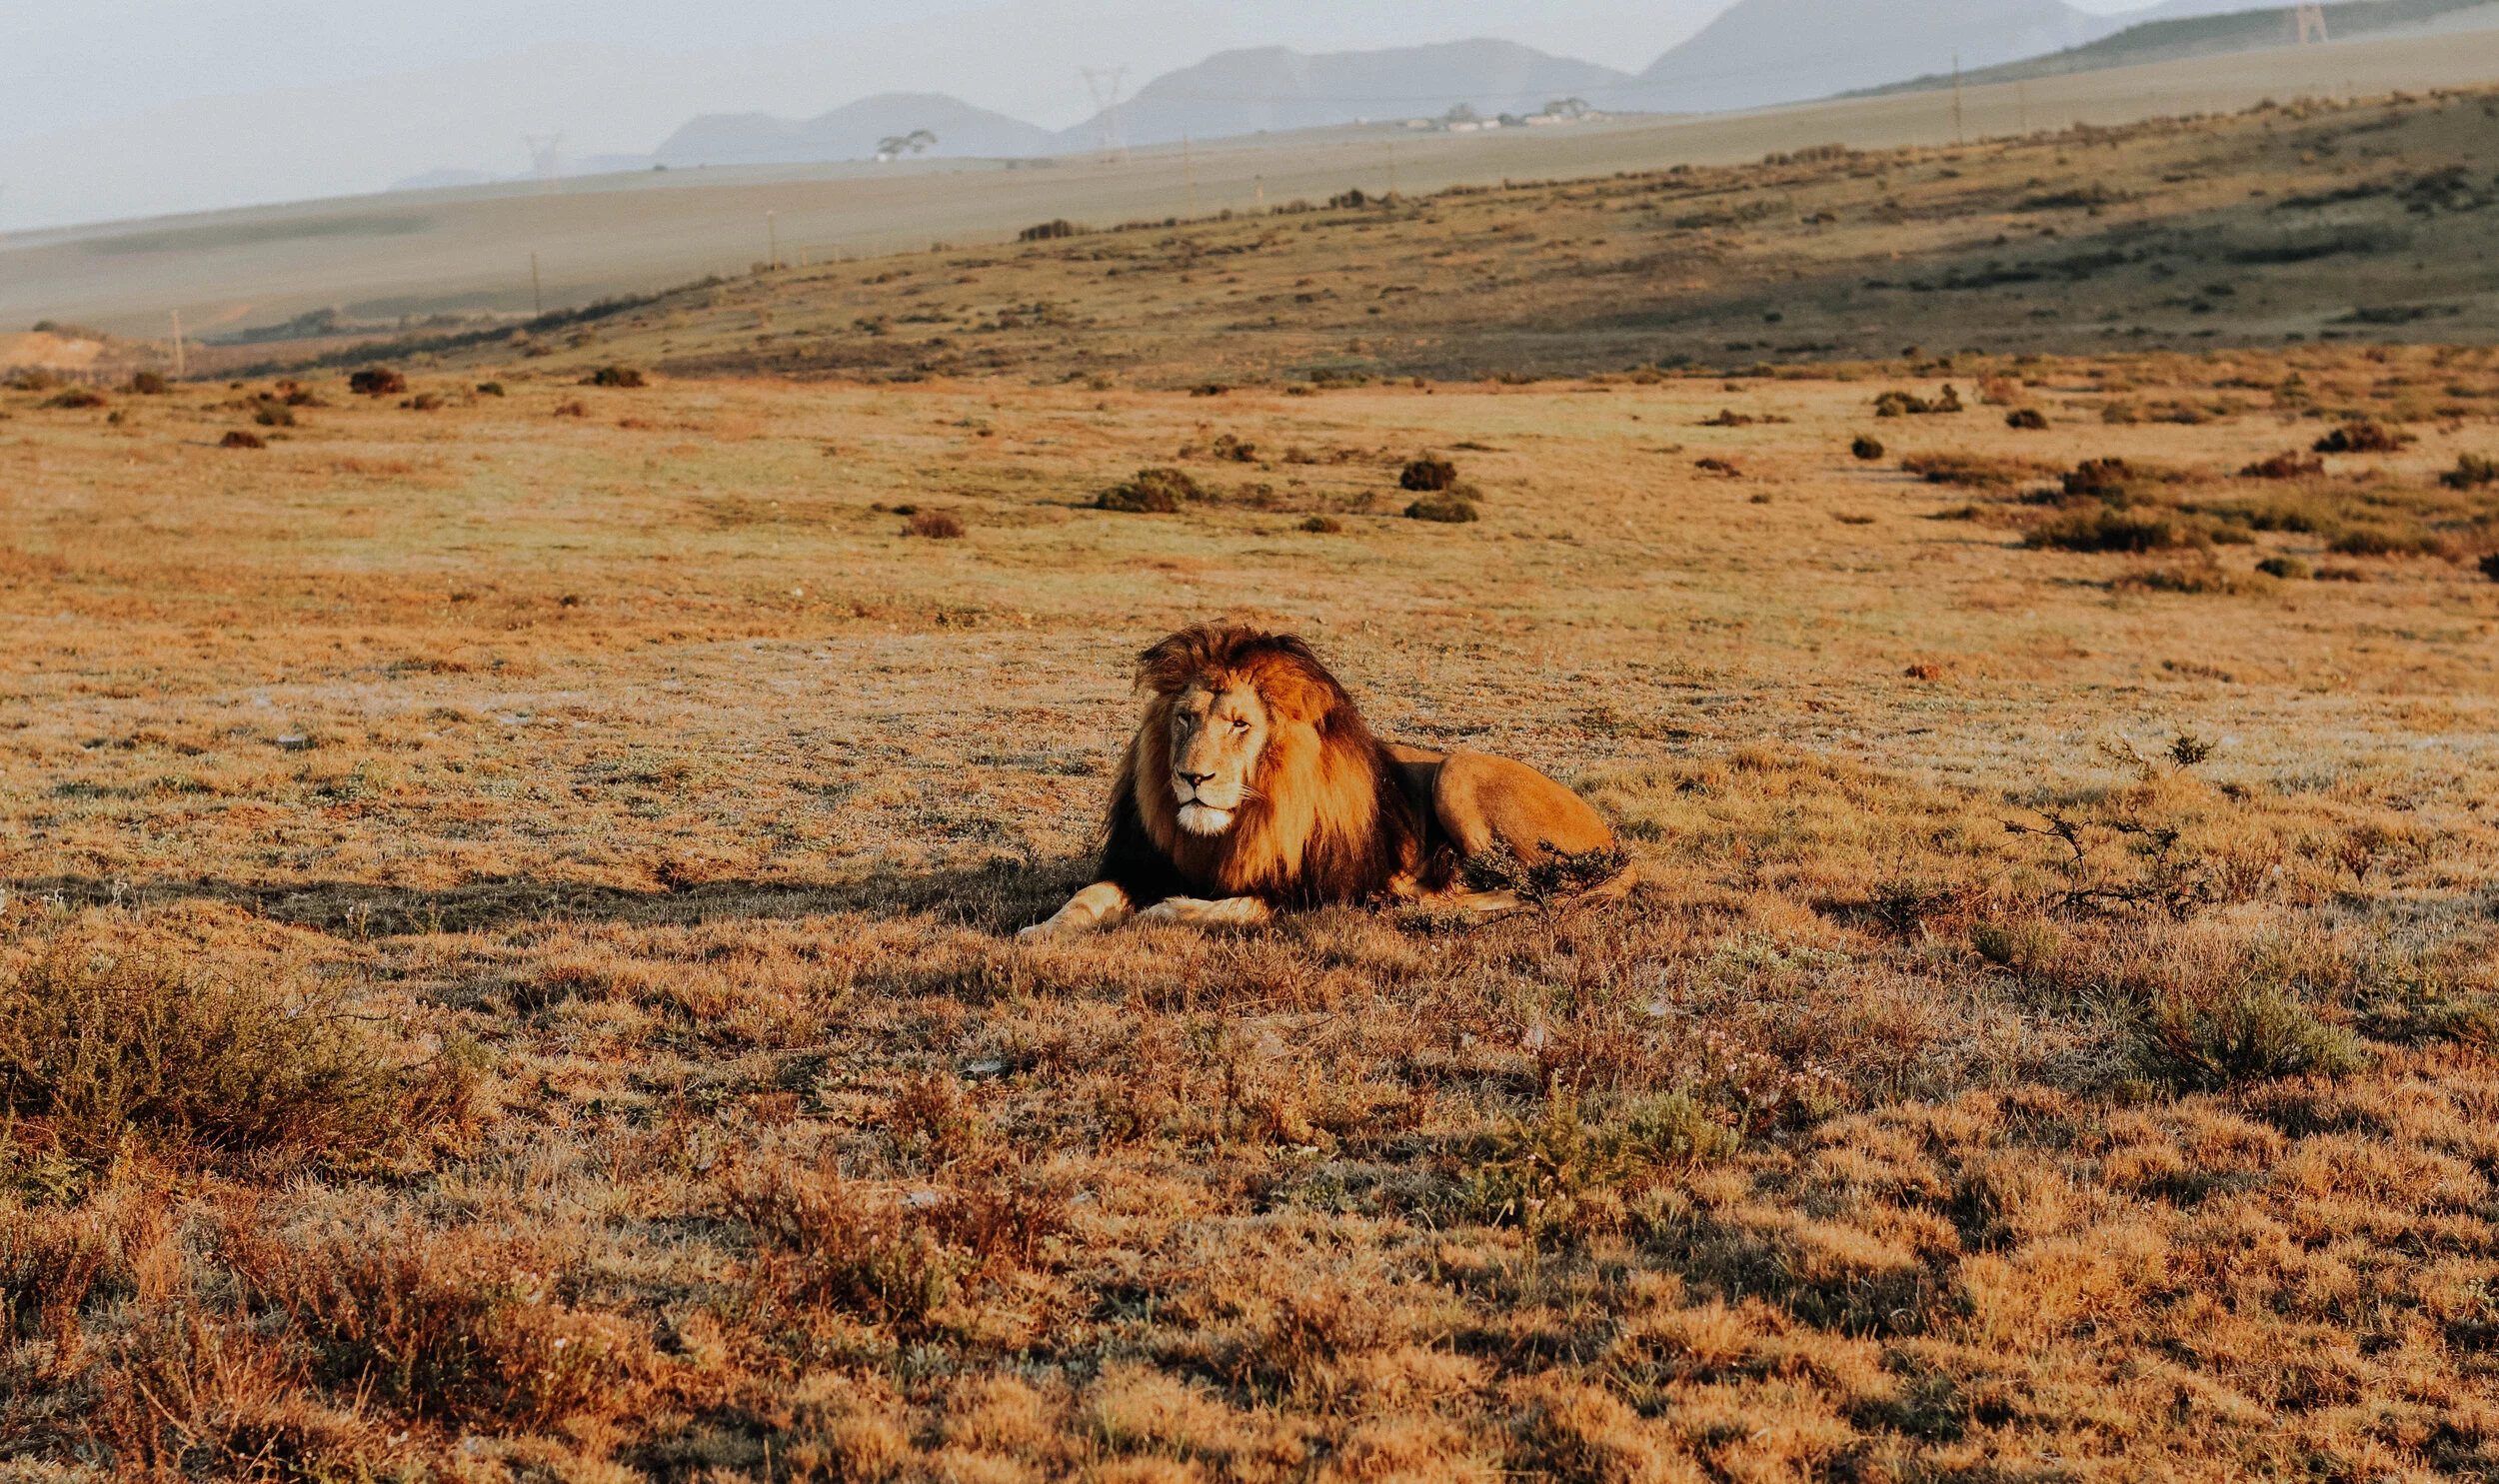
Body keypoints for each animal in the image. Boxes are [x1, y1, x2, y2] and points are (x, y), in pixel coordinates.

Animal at [1019, 624, 1634, 938]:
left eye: (1240, 724)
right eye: (1185, 718)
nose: (1192, 777)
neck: (1229, 828)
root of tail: (1616, 841)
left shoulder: (1311, 891)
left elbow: (1231, 906)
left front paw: (1163, 912)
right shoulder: (1143, 864)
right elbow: (1087, 895)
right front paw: (1040, 931)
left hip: (1459, 768)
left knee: (1527, 888)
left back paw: (1416, 901)